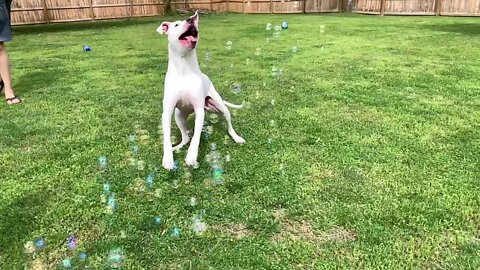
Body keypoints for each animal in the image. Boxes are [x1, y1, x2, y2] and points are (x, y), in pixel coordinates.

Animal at [158, 11, 246, 170]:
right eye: (176, 24)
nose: (192, 19)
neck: (184, 68)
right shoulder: (167, 112)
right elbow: (167, 137)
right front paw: (168, 158)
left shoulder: (199, 111)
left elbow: (196, 137)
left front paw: (191, 157)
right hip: (179, 117)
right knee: (185, 137)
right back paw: (178, 146)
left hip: (221, 107)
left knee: (228, 125)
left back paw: (236, 137)